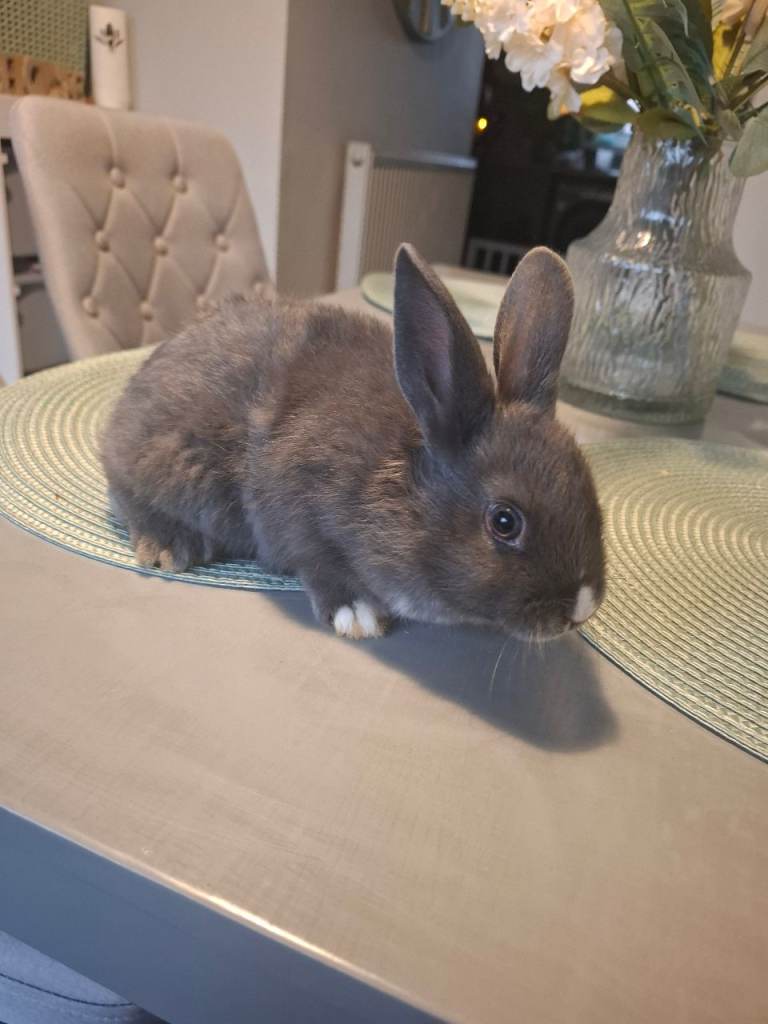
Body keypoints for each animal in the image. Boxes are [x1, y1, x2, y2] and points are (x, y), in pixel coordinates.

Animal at [102, 244, 605, 640]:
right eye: (504, 521)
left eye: (591, 492)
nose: (583, 608)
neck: (404, 480)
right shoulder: (294, 506)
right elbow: (317, 561)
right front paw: (358, 613)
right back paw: (169, 546)